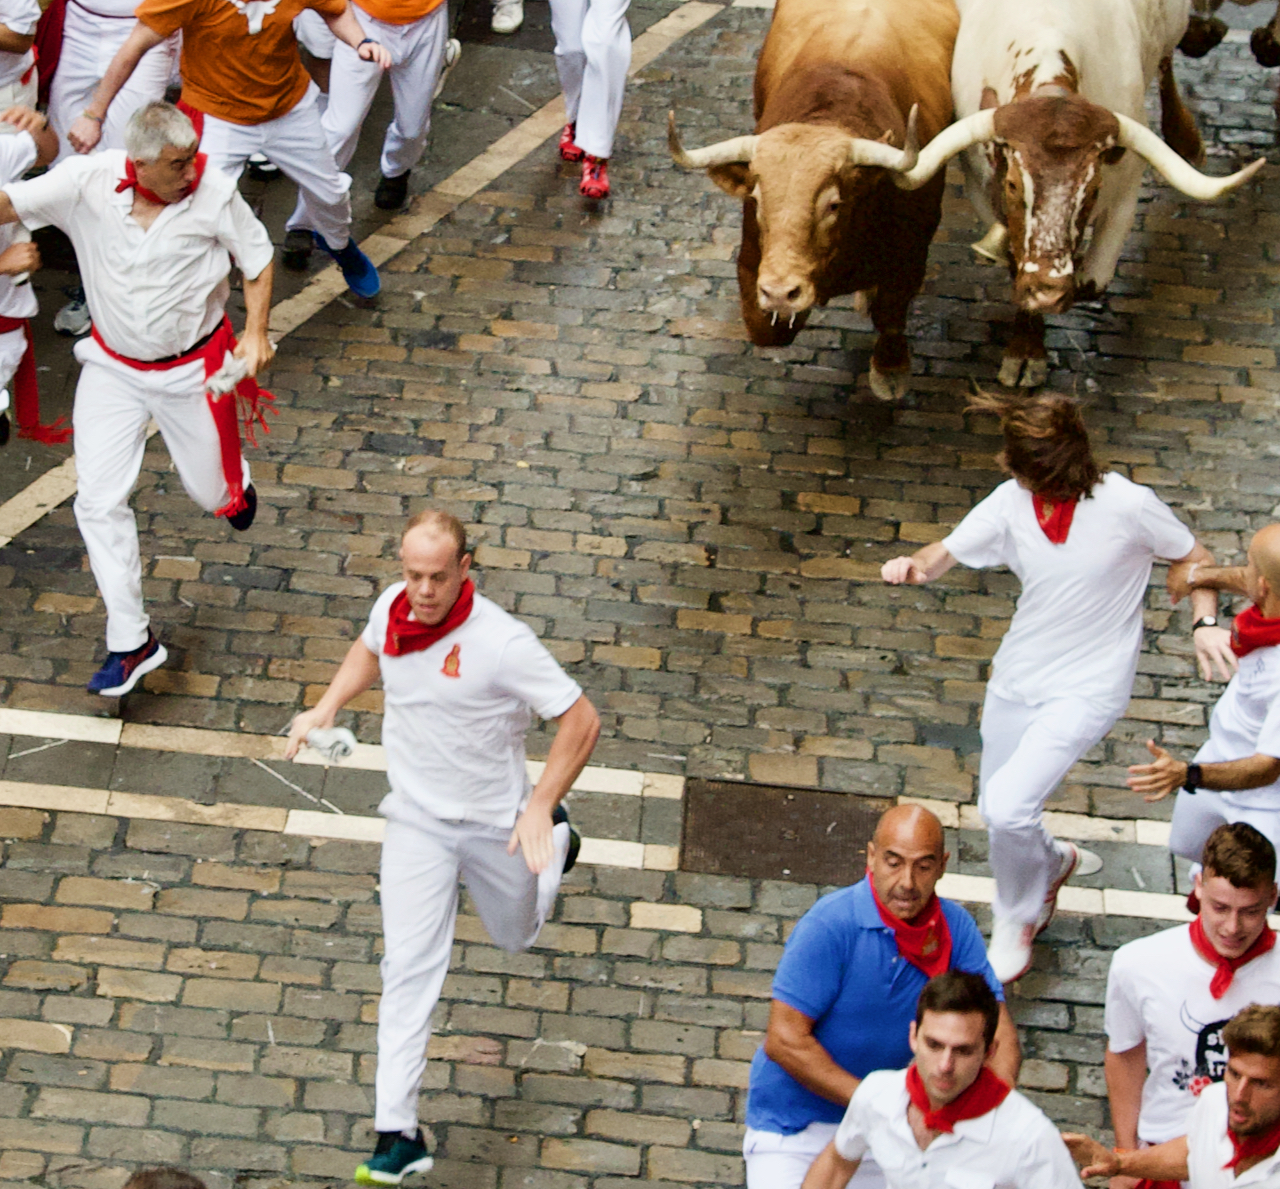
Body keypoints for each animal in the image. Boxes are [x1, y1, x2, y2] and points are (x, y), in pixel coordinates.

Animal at [665, 0, 957, 401]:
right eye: (757, 200)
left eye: (833, 205)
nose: (780, 292)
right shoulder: (752, 263)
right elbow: (768, 330)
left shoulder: (911, 256)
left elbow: (891, 314)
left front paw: (890, 369)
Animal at [885, 0, 1264, 383]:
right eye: (1012, 185)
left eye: (1094, 189)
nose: (1049, 292)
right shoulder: (983, 192)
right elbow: (1015, 260)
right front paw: (1026, 347)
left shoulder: (1126, 193)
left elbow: (1092, 282)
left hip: (1172, 26)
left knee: (1166, 60)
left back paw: (1186, 137)